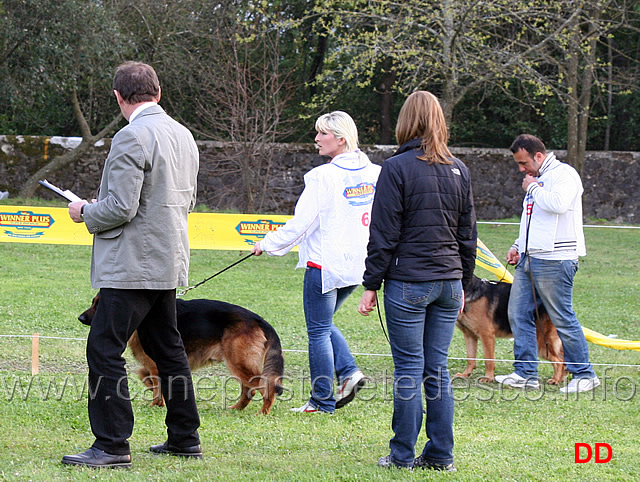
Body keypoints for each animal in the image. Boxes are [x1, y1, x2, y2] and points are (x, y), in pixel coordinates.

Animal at [77, 294, 282, 414]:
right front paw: (156, 394)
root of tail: (258, 319)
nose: (80, 318)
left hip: (238, 363)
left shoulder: (155, 364)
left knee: (266, 386)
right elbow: (145, 376)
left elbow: (155, 384)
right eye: (93, 303)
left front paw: (156, 404)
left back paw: (263, 412)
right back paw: (237, 409)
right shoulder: (153, 365)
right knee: (249, 389)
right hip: (239, 364)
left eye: (98, 305)